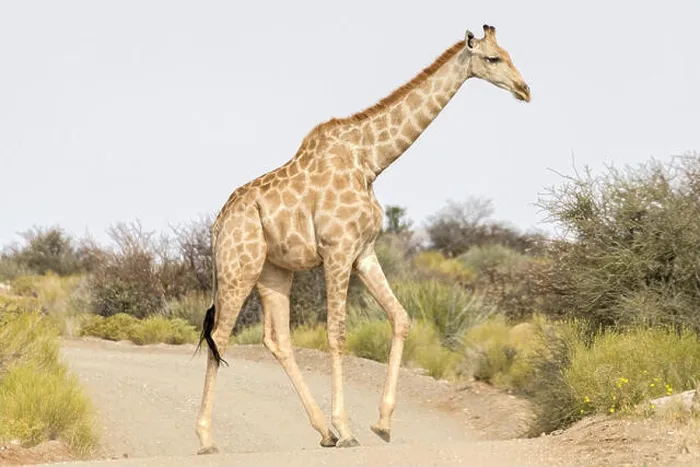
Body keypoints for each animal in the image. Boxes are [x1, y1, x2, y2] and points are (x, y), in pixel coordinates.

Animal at [195, 24, 530, 454]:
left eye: (510, 54)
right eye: (493, 58)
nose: (524, 89)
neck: (371, 160)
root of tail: (218, 224)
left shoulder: (364, 252)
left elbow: (401, 317)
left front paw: (382, 424)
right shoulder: (337, 251)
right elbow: (337, 334)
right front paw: (350, 429)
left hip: (274, 271)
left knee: (277, 339)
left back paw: (323, 432)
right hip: (239, 267)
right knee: (219, 336)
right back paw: (207, 438)